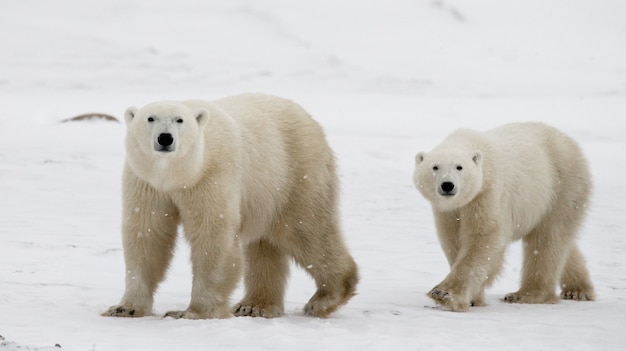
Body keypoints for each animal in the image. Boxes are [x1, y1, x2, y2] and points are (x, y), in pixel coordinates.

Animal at [100, 93, 358, 320]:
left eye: (179, 120)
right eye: (150, 118)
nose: (165, 138)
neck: (178, 175)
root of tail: (309, 118)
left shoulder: (210, 176)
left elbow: (211, 234)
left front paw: (193, 312)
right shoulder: (147, 184)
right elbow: (148, 233)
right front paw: (125, 308)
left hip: (295, 172)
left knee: (306, 229)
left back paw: (324, 299)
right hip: (265, 195)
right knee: (264, 245)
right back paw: (254, 306)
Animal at [412, 122, 592, 312]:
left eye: (459, 167)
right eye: (435, 167)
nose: (447, 185)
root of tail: (570, 142)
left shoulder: (488, 193)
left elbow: (484, 238)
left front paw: (445, 294)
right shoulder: (449, 210)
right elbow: (453, 240)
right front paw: (473, 297)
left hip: (562, 187)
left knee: (548, 239)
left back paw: (526, 294)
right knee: (561, 243)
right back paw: (578, 290)